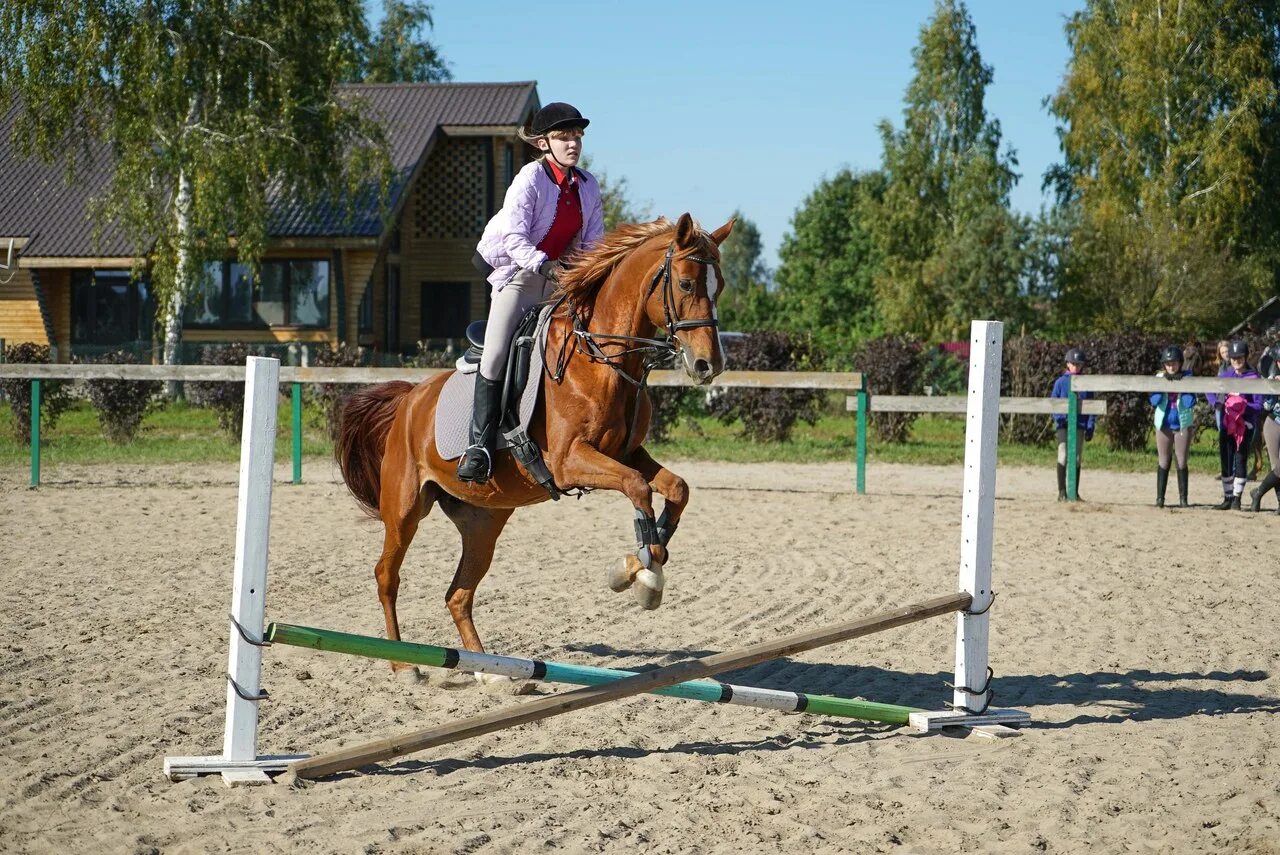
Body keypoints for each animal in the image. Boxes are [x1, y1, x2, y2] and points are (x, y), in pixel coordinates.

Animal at [332, 213, 732, 680]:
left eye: (719, 285)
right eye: (686, 284)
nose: (708, 365)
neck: (600, 358)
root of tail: (410, 400)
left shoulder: (626, 453)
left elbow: (675, 489)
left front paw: (645, 560)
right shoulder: (568, 461)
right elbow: (636, 487)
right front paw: (642, 574)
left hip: (483, 521)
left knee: (458, 594)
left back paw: (492, 672)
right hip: (404, 508)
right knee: (387, 576)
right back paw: (404, 666)